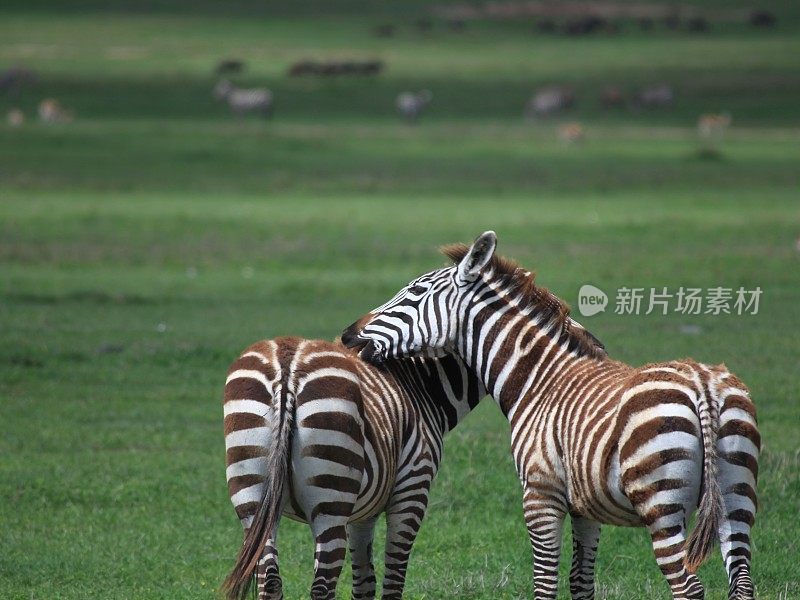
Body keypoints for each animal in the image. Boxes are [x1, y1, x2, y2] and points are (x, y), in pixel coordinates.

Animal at [219, 336, 484, 596]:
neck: (421, 387)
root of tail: (287, 365)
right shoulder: (412, 489)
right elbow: (393, 580)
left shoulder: (362, 512)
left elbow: (365, 582)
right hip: (330, 499)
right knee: (322, 585)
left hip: (251, 496)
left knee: (270, 579)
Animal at [340, 231, 760, 600]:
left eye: (414, 293)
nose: (347, 336)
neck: (538, 380)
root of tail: (702, 383)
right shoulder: (586, 507)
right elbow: (581, 582)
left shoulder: (540, 494)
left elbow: (545, 582)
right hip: (736, 493)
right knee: (741, 582)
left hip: (661, 503)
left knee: (687, 587)